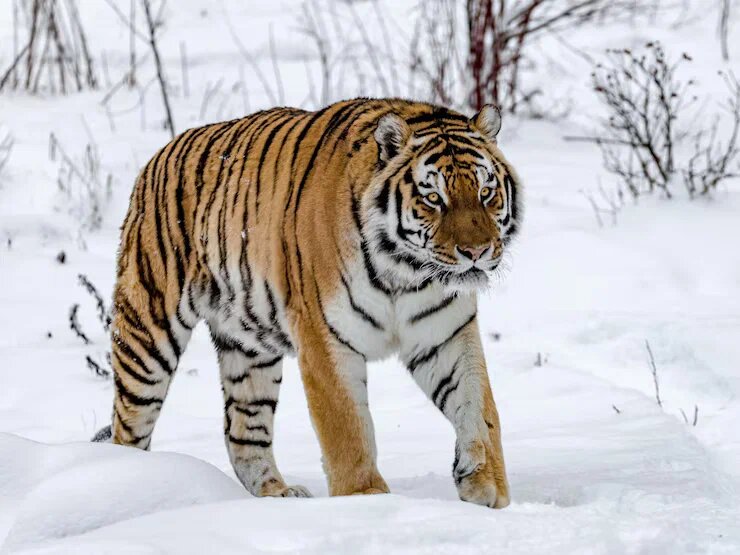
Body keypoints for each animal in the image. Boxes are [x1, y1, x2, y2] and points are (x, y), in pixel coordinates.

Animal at [92, 98, 522, 509]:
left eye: (485, 192)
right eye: (433, 198)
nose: (476, 252)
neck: (406, 273)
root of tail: (158, 156)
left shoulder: (445, 334)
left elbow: (479, 406)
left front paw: (486, 484)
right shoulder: (325, 337)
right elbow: (347, 428)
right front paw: (366, 499)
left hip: (249, 349)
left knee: (242, 432)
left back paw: (279, 497)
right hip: (148, 333)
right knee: (129, 426)